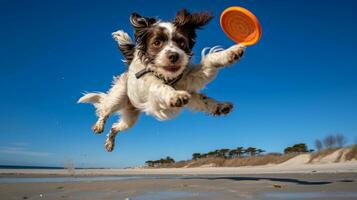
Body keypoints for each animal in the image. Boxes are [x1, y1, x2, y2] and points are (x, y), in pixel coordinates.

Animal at [78, 9, 245, 152]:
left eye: (181, 42)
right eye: (156, 43)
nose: (174, 56)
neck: (168, 77)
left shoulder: (189, 80)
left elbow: (205, 88)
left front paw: (229, 54)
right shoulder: (153, 93)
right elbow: (160, 87)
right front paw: (175, 95)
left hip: (130, 118)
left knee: (115, 126)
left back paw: (109, 143)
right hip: (119, 97)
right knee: (104, 109)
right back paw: (99, 125)